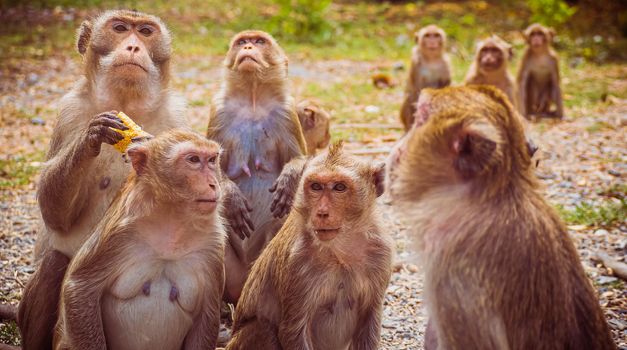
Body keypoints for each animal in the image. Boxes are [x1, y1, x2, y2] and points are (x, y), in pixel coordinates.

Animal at [18, 10, 188, 350]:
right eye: (120, 28)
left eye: (145, 32)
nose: (133, 46)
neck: (126, 103)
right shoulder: (69, 112)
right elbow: (55, 218)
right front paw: (92, 135)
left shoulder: (177, 118)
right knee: (54, 262)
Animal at [54, 131, 226, 350]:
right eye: (194, 159)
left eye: (212, 160)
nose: (213, 184)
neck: (172, 221)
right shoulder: (119, 232)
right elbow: (79, 288)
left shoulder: (213, 245)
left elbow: (208, 313)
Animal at [207, 30, 308, 304]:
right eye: (242, 42)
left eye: (260, 42)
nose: (249, 47)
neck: (252, 99)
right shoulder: (218, 111)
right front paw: (232, 198)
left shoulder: (287, 112)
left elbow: (300, 158)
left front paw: (288, 180)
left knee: (279, 224)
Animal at [226, 143, 392, 350]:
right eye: (316, 187)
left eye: (339, 187)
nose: (321, 212)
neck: (339, 251)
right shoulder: (296, 261)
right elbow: (293, 330)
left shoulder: (381, 254)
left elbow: (369, 321)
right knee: (264, 330)